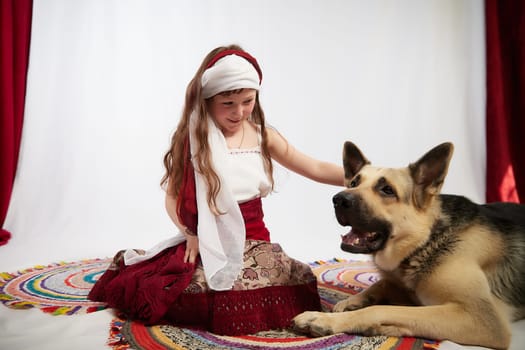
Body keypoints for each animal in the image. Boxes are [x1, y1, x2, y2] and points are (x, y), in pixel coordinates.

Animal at [292, 141, 524, 348]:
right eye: (353, 183)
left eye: (387, 190)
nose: (338, 200)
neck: (426, 240)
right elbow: (383, 284)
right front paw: (354, 301)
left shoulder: (480, 317)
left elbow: (382, 309)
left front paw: (325, 319)